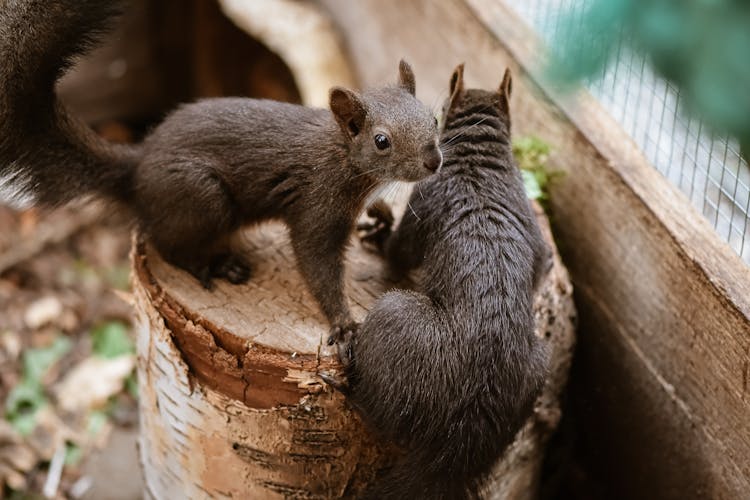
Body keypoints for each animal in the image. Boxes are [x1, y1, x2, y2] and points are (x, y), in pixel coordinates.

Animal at [0, 0, 444, 342]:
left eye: (433, 118)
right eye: (382, 141)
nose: (434, 161)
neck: (342, 156)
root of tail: (137, 168)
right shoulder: (316, 205)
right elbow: (317, 264)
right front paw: (344, 323)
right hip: (202, 196)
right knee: (166, 244)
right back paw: (215, 265)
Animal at [332, 64, 556, 498]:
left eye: (436, 117)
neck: (481, 160)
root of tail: (462, 435)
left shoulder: (425, 201)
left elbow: (398, 252)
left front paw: (381, 230)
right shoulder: (533, 229)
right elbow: (542, 266)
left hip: (394, 318)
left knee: (378, 415)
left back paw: (350, 379)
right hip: (539, 366)